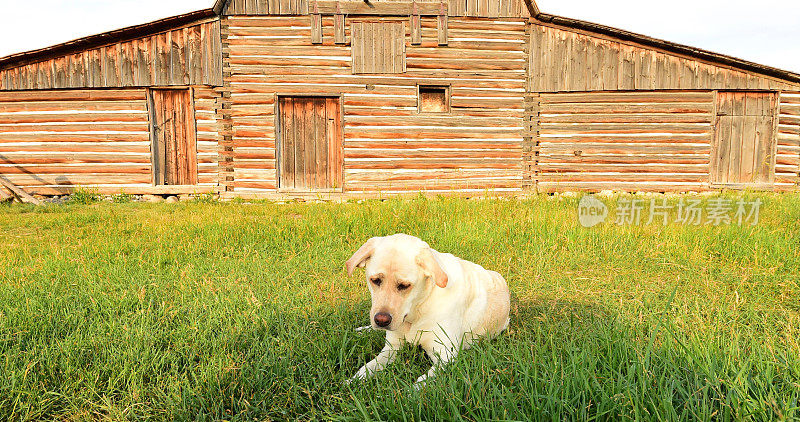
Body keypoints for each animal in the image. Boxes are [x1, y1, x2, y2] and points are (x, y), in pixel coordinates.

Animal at [346, 234, 510, 386]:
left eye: (404, 285)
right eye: (375, 280)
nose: (381, 321)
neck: (419, 309)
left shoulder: (445, 355)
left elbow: (422, 382)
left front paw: (411, 391)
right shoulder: (391, 347)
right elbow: (367, 367)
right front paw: (351, 381)